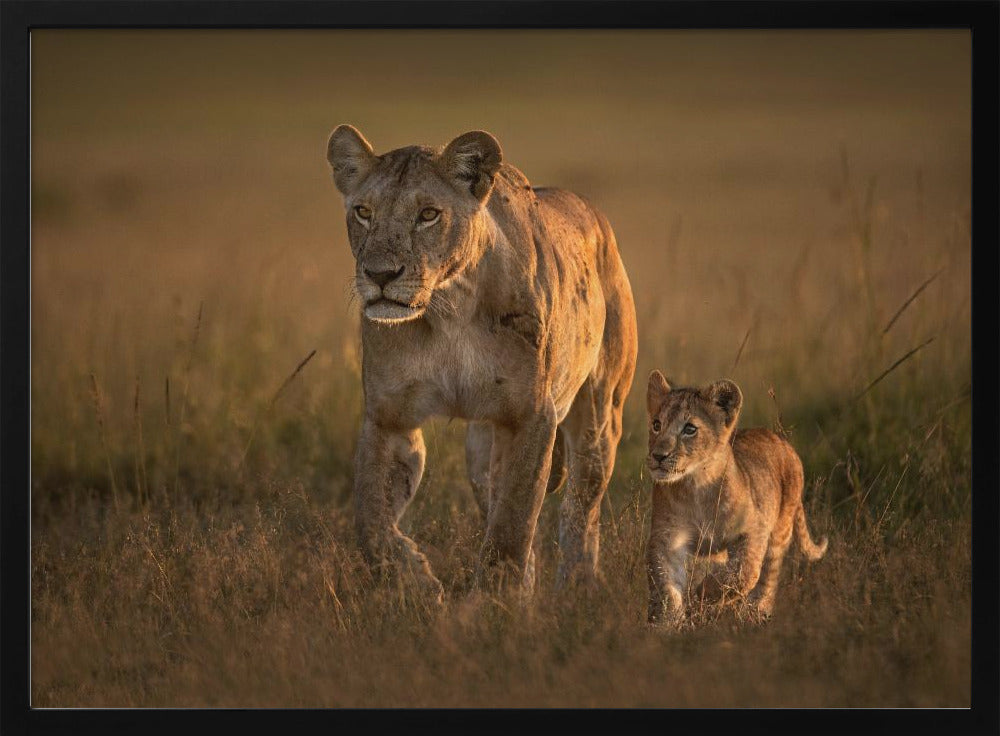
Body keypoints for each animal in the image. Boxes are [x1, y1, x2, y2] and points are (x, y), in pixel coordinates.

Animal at [325, 125, 638, 601]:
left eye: (428, 215)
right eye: (363, 212)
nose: (380, 275)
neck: (447, 308)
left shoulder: (531, 416)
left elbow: (512, 525)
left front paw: (494, 604)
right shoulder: (389, 418)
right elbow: (372, 522)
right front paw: (416, 583)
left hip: (600, 415)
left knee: (581, 507)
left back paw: (577, 589)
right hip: (480, 449)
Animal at [644, 371, 828, 625]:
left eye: (690, 429)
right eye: (656, 425)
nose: (658, 456)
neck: (696, 486)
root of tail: (782, 441)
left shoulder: (754, 530)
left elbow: (744, 571)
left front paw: (703, 594)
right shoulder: (667, 537)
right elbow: (666, 586)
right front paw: (667, 622)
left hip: (779, 531)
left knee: (768, 579)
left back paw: (754, 614)